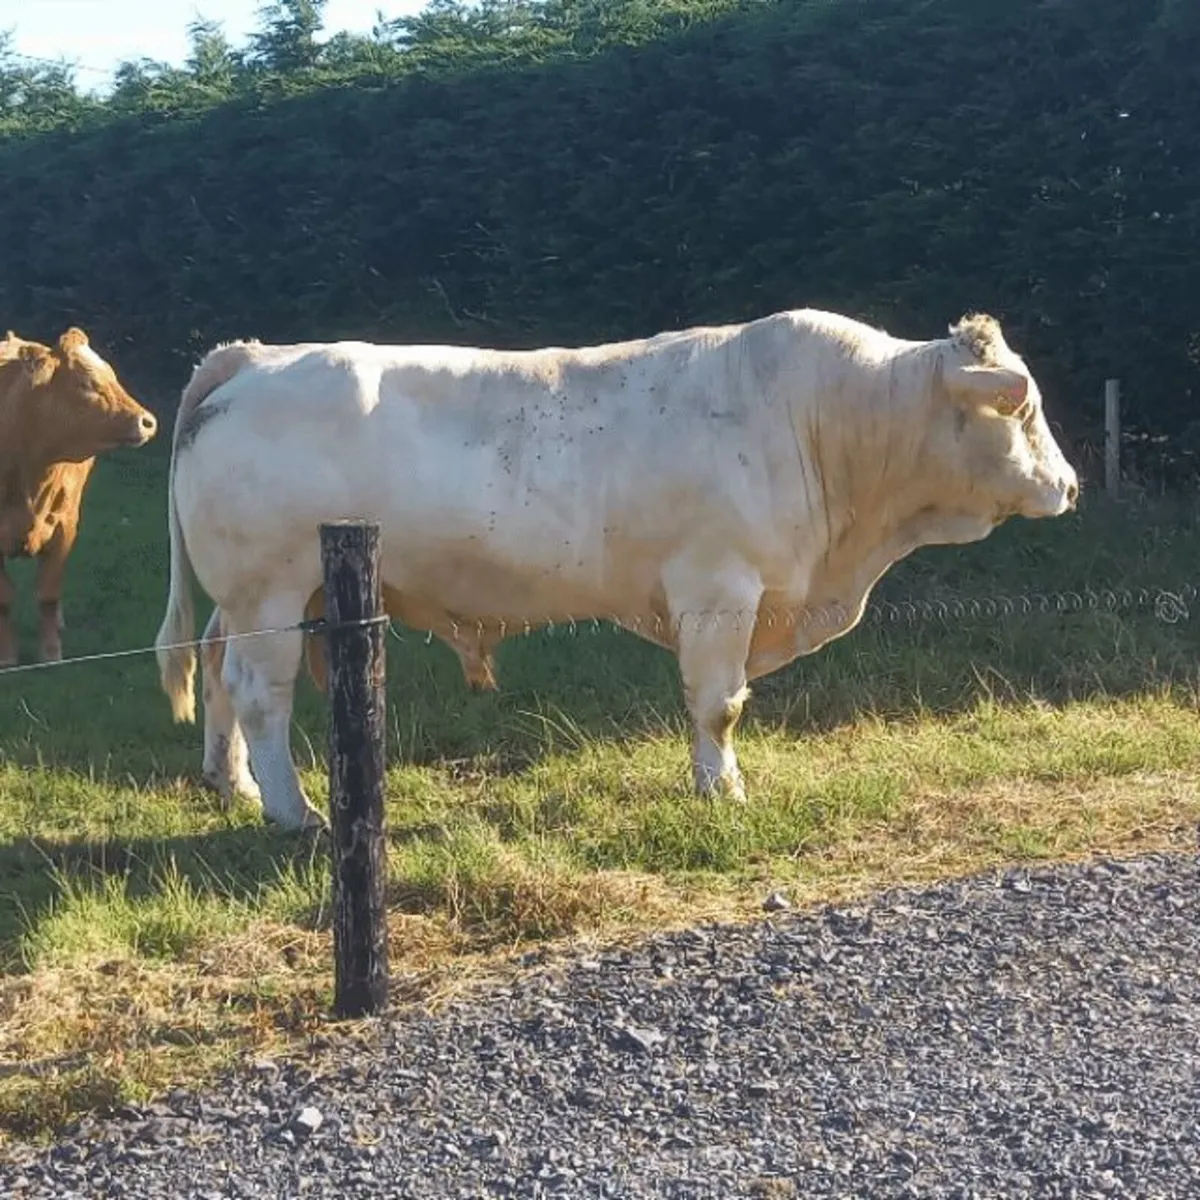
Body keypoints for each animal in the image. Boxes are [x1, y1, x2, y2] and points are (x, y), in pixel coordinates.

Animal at [0, 328, 158, 666]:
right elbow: (4, 598)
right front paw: (7, 655)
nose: (148, 421)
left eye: (112, 376)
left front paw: (51, 653)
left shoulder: (64, 526)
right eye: (86, 384)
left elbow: (48, 593)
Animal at [155, 308, 1078, 831]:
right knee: (261, 693)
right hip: (271, 595)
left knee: (217, 670)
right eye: (1027, 405)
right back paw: (292, 810)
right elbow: (718, 706)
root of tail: (255, 357)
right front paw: (721, 793)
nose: (1069, 485)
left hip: (259, 596)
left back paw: (232, 784)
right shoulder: (718, 590)